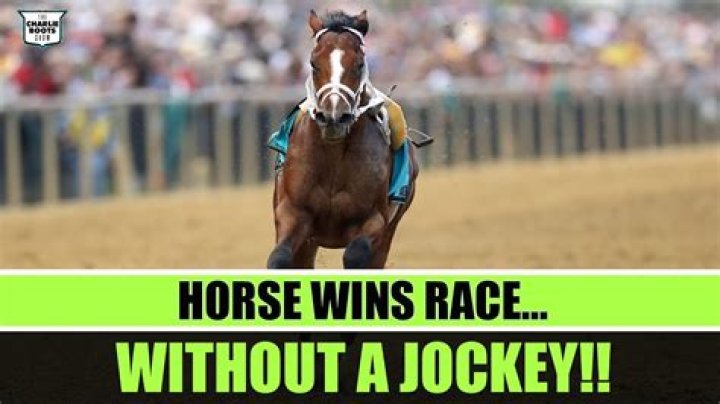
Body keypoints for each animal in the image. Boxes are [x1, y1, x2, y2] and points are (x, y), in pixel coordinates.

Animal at [267, 10, 420, 269]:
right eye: (313, 63)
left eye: (359, 64)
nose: (334, 117)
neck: (333, 155)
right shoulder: (292, 211)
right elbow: (279, 258)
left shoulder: (374, 219)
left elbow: (355, 254)